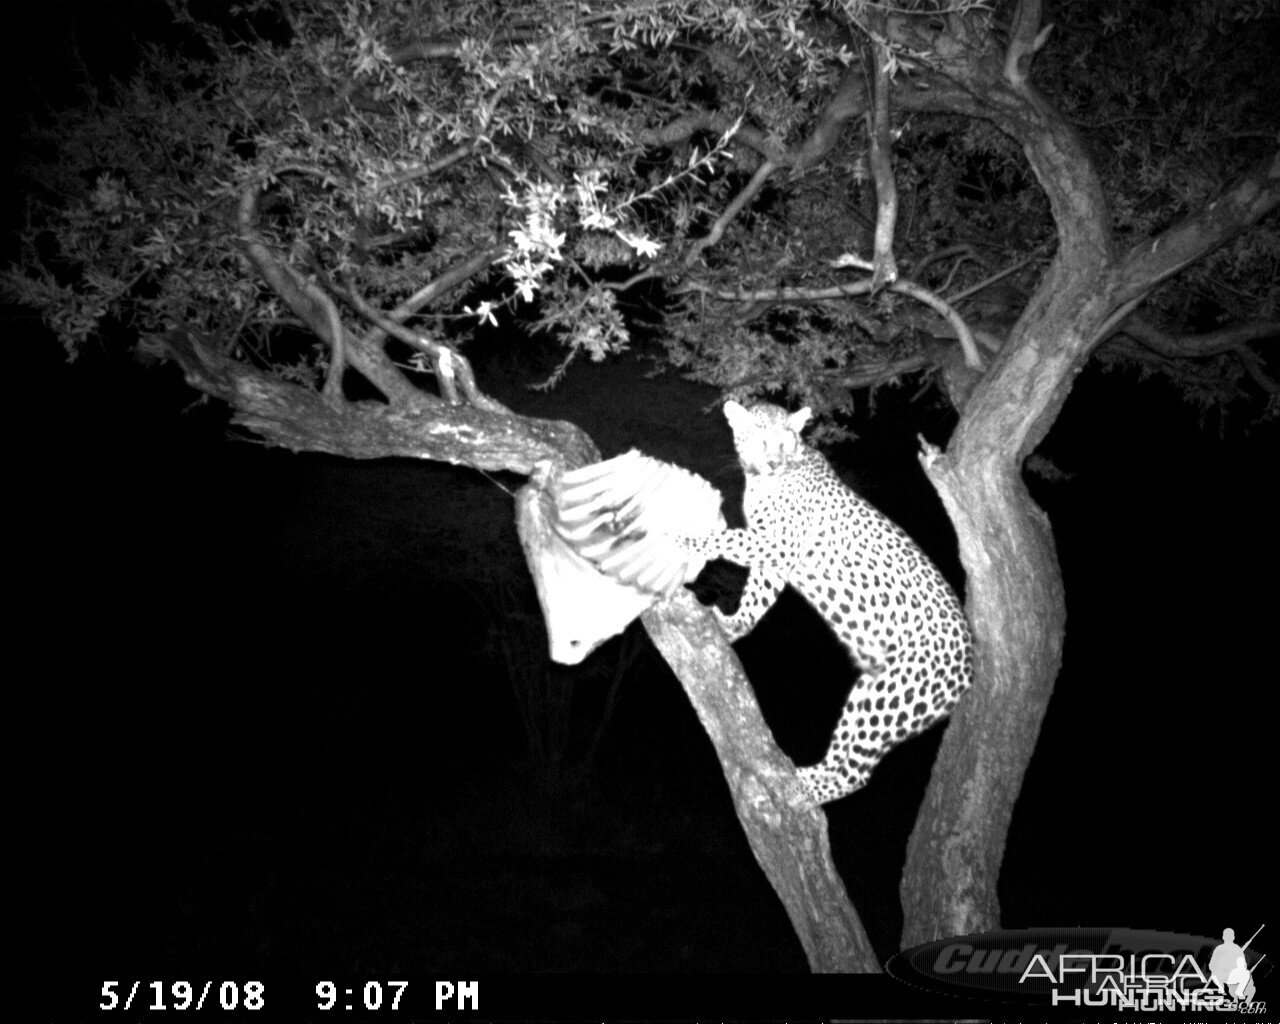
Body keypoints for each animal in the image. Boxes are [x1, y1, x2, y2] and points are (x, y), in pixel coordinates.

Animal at [680, 401, 967, 808]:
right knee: (844, 757)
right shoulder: (775, 557)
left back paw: (802, 789)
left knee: (857, 774)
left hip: (893, 696)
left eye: (786, 441)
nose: (774, 464)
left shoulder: (779, 544)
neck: (762, 482)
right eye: (761, 439)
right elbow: (757, 596)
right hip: (870, 689)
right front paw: (735, 625)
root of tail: (970, 666)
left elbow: (729, 538)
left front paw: (689, 540)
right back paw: (799, 775)